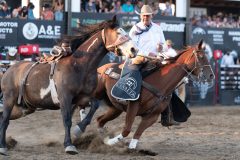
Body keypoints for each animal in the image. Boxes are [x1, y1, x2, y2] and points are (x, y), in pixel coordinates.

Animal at [0, 16, 138, 155]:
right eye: (118, 32)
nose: (134, 50)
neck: (79, 65)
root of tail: (9, 70)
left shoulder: (82, 97)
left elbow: (94, 106)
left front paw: (79, 129)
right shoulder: (65, 97)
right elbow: (67, 120)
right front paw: (69, 145)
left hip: (24, 108)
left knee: (4, 117)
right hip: (9, 99)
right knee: (5, 120)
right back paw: (3, 147)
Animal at [74, 39, 215, 149]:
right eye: (201, 57)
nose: (211, 75)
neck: (161, 82)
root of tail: (101, 68)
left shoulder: (152, 115)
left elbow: (137, 133)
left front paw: (128, 147)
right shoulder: (133, 106)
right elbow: (126, 130)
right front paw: (109, 142)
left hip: (115, 108)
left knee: (100, 120)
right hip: (96, 94)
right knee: (81, 104)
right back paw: (81, 126)